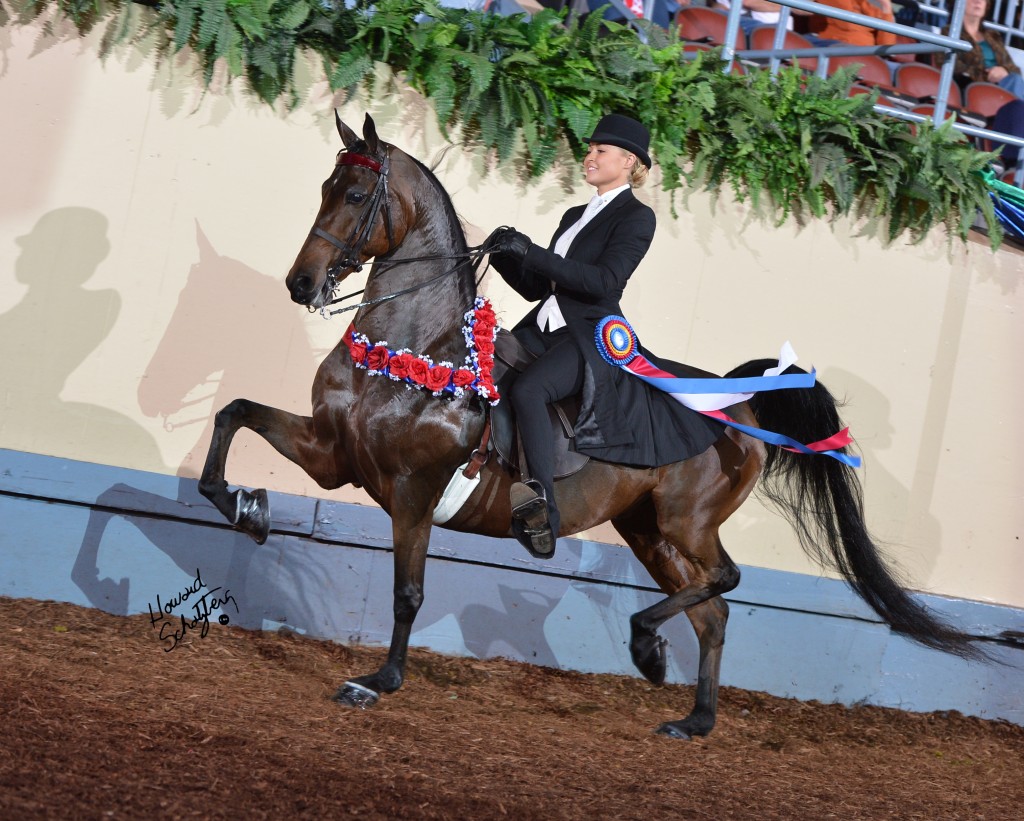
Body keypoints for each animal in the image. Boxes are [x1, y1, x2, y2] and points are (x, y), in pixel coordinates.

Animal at [199, 110, 983, 737]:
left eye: (359, 195)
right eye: (325, 189)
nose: (302, 284)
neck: (409, 350)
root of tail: (734, 403)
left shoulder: (414, 490)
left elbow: (408, 592)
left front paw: (379, 681)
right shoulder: (334, 455)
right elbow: (233, 417)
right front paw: (248, 508)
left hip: (686, 521)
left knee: (725, 578)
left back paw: (647, 647)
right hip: (647, 529)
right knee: (712, 611)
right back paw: (692, 716)